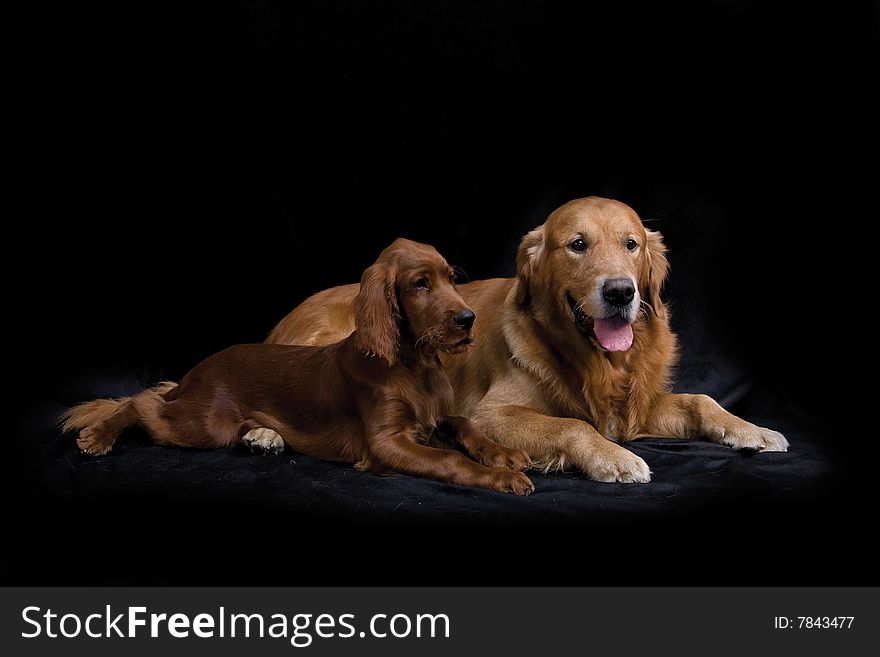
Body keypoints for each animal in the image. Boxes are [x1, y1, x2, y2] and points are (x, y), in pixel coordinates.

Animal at [65, 238, 532, 494]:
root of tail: (199, 369)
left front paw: (505, 454)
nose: (468, 318)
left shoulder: (433, 417)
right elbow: (450, 460)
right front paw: (498, 477)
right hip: (204, 425)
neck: (413, 364)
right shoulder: (386, 442)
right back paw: (97, 435)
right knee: (142, 402)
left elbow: (464, 423)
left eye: (452, 278)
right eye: (420, 284)